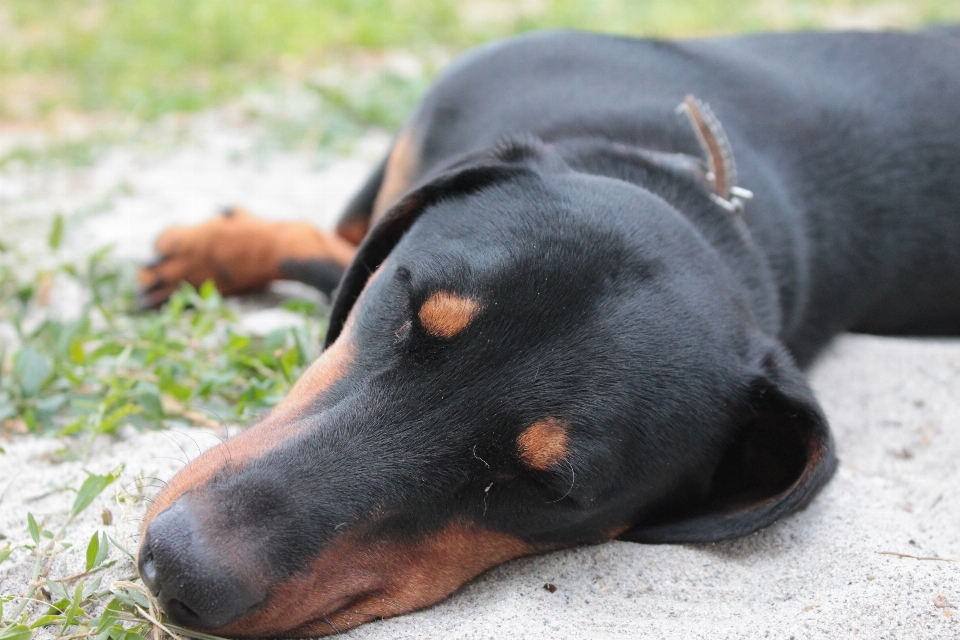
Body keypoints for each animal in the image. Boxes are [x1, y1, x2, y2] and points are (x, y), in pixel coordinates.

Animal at [133, 27, 960, 636]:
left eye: (547, 489)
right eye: (407, 310)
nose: (175, 568)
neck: (691, 192)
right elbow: (332, 247)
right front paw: (214, 249)